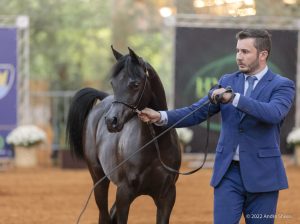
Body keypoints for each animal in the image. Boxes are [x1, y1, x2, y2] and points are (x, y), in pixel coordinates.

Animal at [66, 46, 182, 223]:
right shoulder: (124, 194)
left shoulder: (167, 197)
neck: (156, 145)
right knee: (104, 215)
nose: (111, 121)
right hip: (99, 181)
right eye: (113, 83)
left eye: (135, 84)